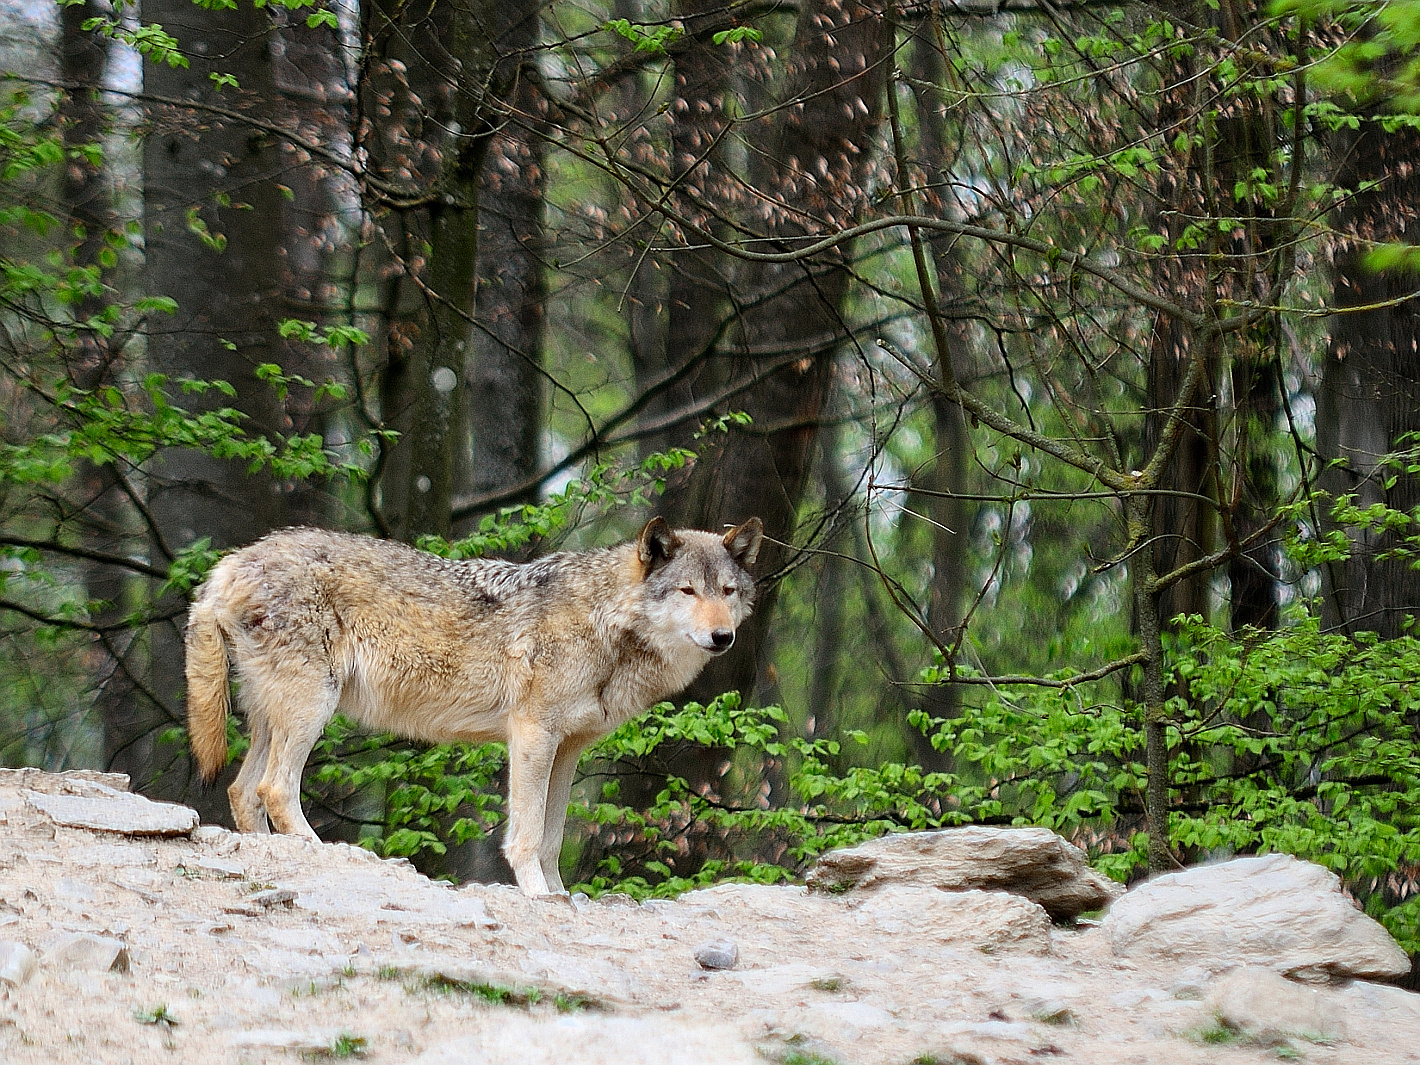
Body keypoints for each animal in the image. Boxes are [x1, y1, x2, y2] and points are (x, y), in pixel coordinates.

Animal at [191, 522, 766, 897]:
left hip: (278, 717)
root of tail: (229, 562)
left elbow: (552, 838)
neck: (607, 622)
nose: (722, 636)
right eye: (687, 591)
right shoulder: (532, 736)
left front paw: (560, 897)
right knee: (274, 788)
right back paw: (334, 854)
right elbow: (528, 836)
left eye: (727, 591)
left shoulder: (568, 751)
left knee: (242, 790)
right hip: (311, 710)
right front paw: (538, 896)